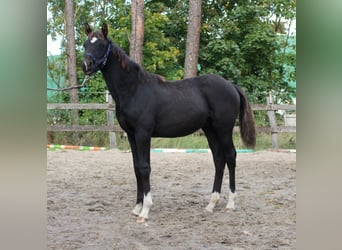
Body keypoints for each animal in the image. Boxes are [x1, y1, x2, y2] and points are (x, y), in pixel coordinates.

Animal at [81, 23, 255, 223]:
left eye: (101, 45)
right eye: (85, 44)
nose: (85, 65)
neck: (134, 89)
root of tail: (231, 86)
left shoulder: (143, 134)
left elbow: (145, 168)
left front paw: (145, 210)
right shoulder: (132, 136)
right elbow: (136, 168)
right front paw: (137, 207)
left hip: (223, 129)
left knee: (231, 157)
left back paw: (230, 203)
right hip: (210, 129)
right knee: (219, 160)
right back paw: (211, 204)